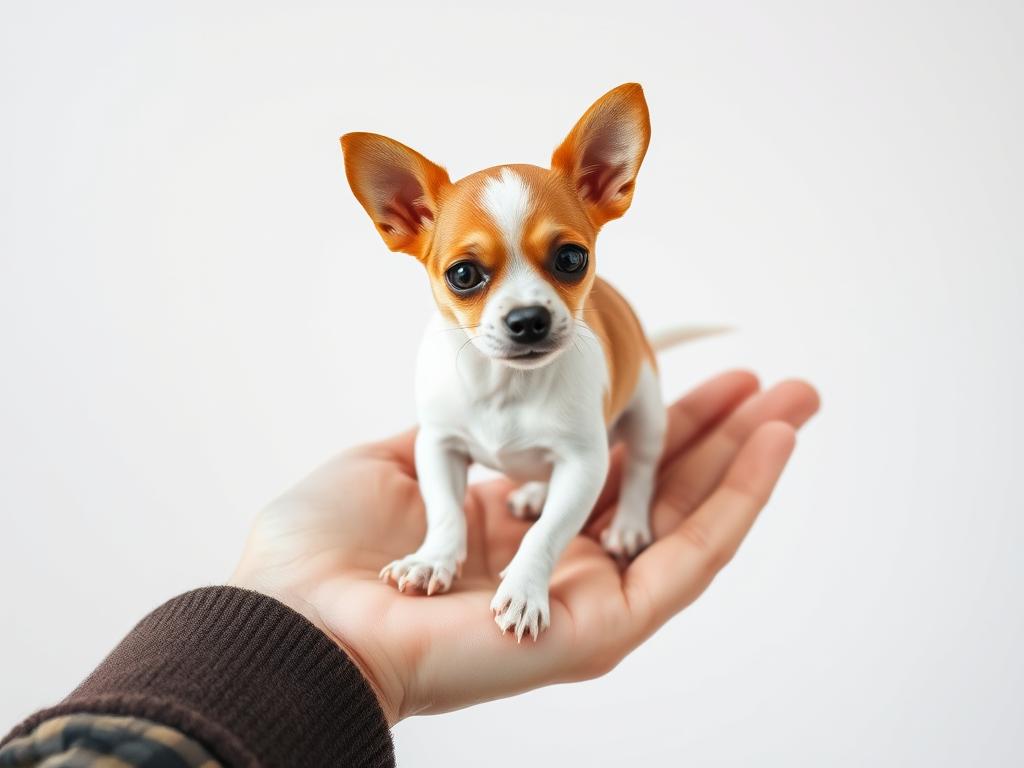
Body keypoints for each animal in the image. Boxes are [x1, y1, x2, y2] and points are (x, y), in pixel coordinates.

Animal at [339, 83, 700, 643]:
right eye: (463, 274)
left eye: (571, 259)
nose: (528, 318)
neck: (506, 385)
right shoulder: (437, 448)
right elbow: (446, 512)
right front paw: (432, 560)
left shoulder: (583, 465)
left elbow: (547, 534)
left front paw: (526, 590)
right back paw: (532, 491)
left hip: (645, 413)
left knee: (640, 470)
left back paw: (627, 524)